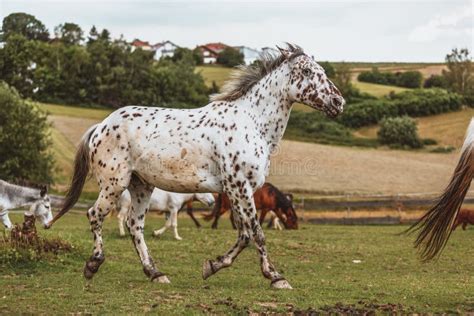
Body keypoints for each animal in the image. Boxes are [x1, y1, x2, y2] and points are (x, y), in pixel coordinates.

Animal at [47, 44, 344, 288]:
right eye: (307, 71)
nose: (338, 102)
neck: (252, 123)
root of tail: (101, 125)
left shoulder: (237, 190)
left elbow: (245, 234)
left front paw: (211, 266)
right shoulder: (240, 187)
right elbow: (256, 234)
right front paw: (276, 277)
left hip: (141, 186)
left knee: (134, 225)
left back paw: (155, 273)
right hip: (114, 184)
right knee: (95, 215)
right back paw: (93, 265)